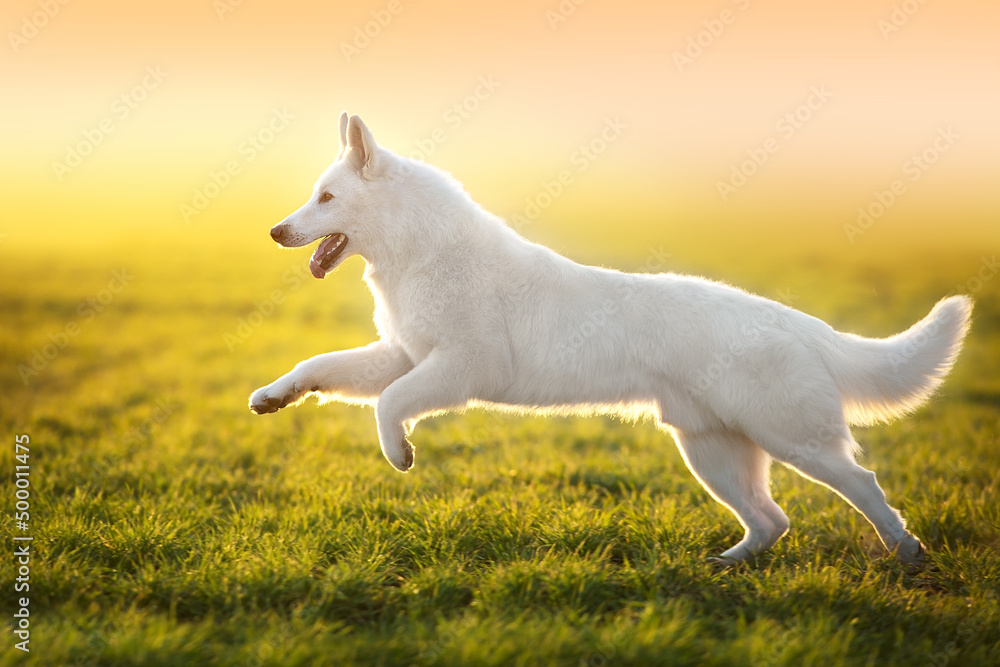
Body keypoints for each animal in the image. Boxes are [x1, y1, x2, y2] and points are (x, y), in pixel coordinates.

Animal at [248, 113, 968, 564]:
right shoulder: (403, 355)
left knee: (863, 484)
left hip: (794, 439)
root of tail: (796, 321)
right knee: (773, 520)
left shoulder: (461, 368)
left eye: (326, 197)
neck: (421, 251)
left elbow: (391, 405)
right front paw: (274, 397)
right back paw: (729, 563)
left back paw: (907, 551)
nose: (276, 232)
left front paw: (399, 454)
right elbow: (322, 364)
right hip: (712, 452)